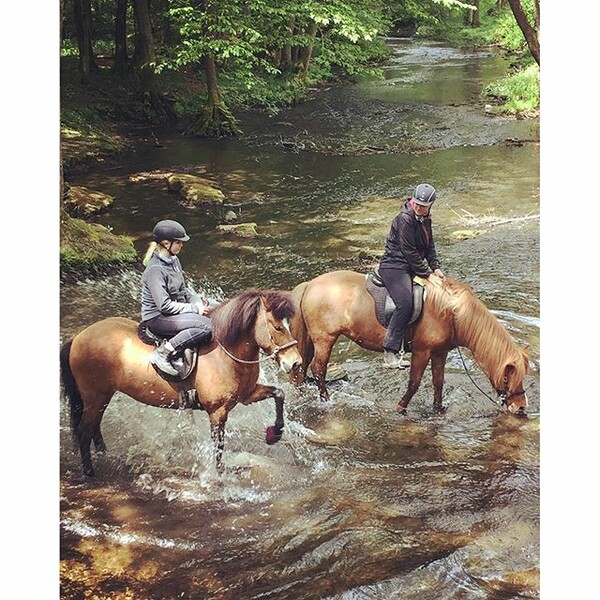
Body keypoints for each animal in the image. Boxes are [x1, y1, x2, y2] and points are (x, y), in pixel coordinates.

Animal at [60, 288, 302, 476]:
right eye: (277, 327)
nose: (296, 362)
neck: (225, 352)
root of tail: (78, 337)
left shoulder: (247, 395)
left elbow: (279, 394)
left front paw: (274, 433)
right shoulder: (217, 412)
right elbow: (218, 448)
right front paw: (221, 479)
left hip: (101, 396)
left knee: (93, 427)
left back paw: (104, 454)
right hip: (94, 396)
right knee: (84, 430)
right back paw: (89, 471)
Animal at [290, 272, 528, 418]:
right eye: (507, 378)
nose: (521, 407)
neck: (451, 314)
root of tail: (310, 285)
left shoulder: (440, 353)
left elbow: (438, 382)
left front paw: (438, 409)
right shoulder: (422, 352)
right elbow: (414, 383)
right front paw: (400, 408)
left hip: (312, 340)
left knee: (303, 368)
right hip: (325, 339)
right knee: (318, 369)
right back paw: (325, 401)